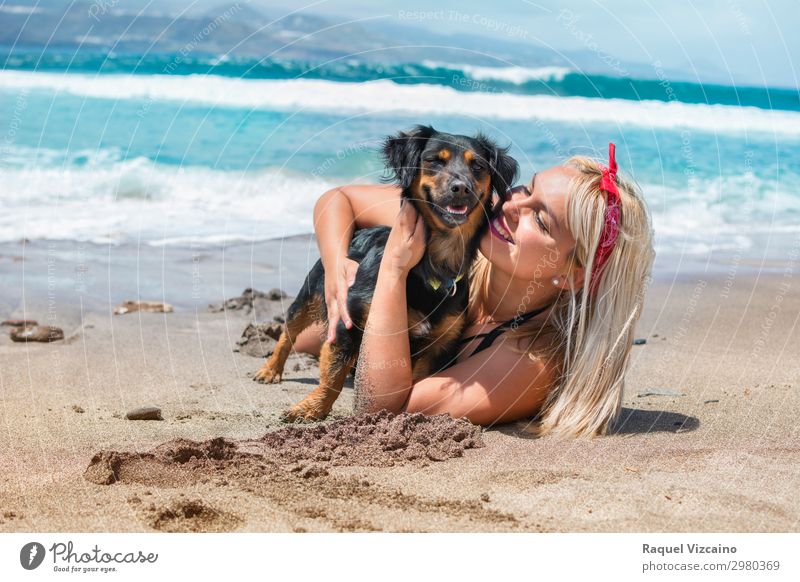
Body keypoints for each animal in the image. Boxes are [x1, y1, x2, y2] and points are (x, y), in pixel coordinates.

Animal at [253, 124, 520, 424]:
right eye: (434, 160)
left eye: (478, 166)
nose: (462, 187)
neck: (433, 265)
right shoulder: (349, 319)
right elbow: (333, 374)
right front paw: (311, 408)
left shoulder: (440, 342)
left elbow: (416, 379)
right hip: (311, 293)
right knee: (289, 332)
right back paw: (270, 370)